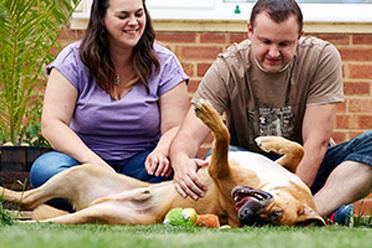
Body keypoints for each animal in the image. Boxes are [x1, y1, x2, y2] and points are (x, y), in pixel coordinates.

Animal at [0, 99, 326, 227]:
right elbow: (297, 150)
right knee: (29, 200)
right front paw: (270, 141)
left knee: (34, 210)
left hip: (86, 215)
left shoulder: (218, 170)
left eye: (271, 219)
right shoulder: (281, 169)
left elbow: (221, 136)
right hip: (80, 172)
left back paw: (12, 218)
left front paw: (210, 117)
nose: (244, 216)